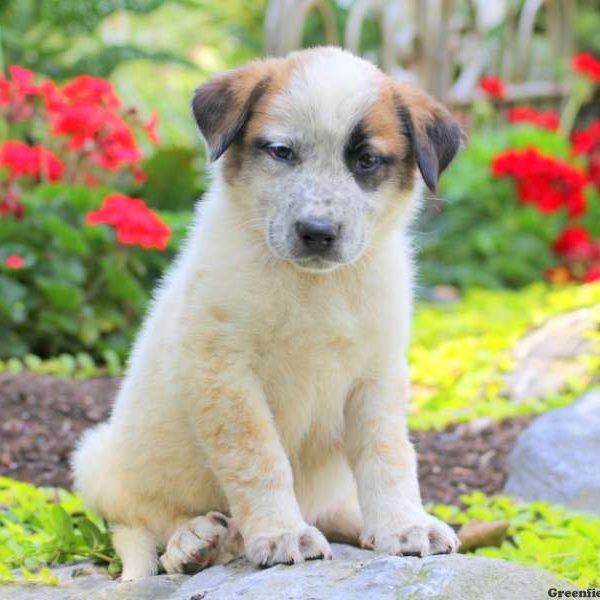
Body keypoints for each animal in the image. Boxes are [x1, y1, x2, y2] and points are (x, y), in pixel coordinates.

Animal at [70, 47, 464, 580]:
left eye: (365, 160)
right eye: (281, 151)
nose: (317, 231)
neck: (313, 286)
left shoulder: (377, 373)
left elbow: (388, 455)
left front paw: (405, 525)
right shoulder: (224, 372)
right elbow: (259, 459)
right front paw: (281, 534)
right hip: (97, 460)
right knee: (148, 521)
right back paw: (195, 541)